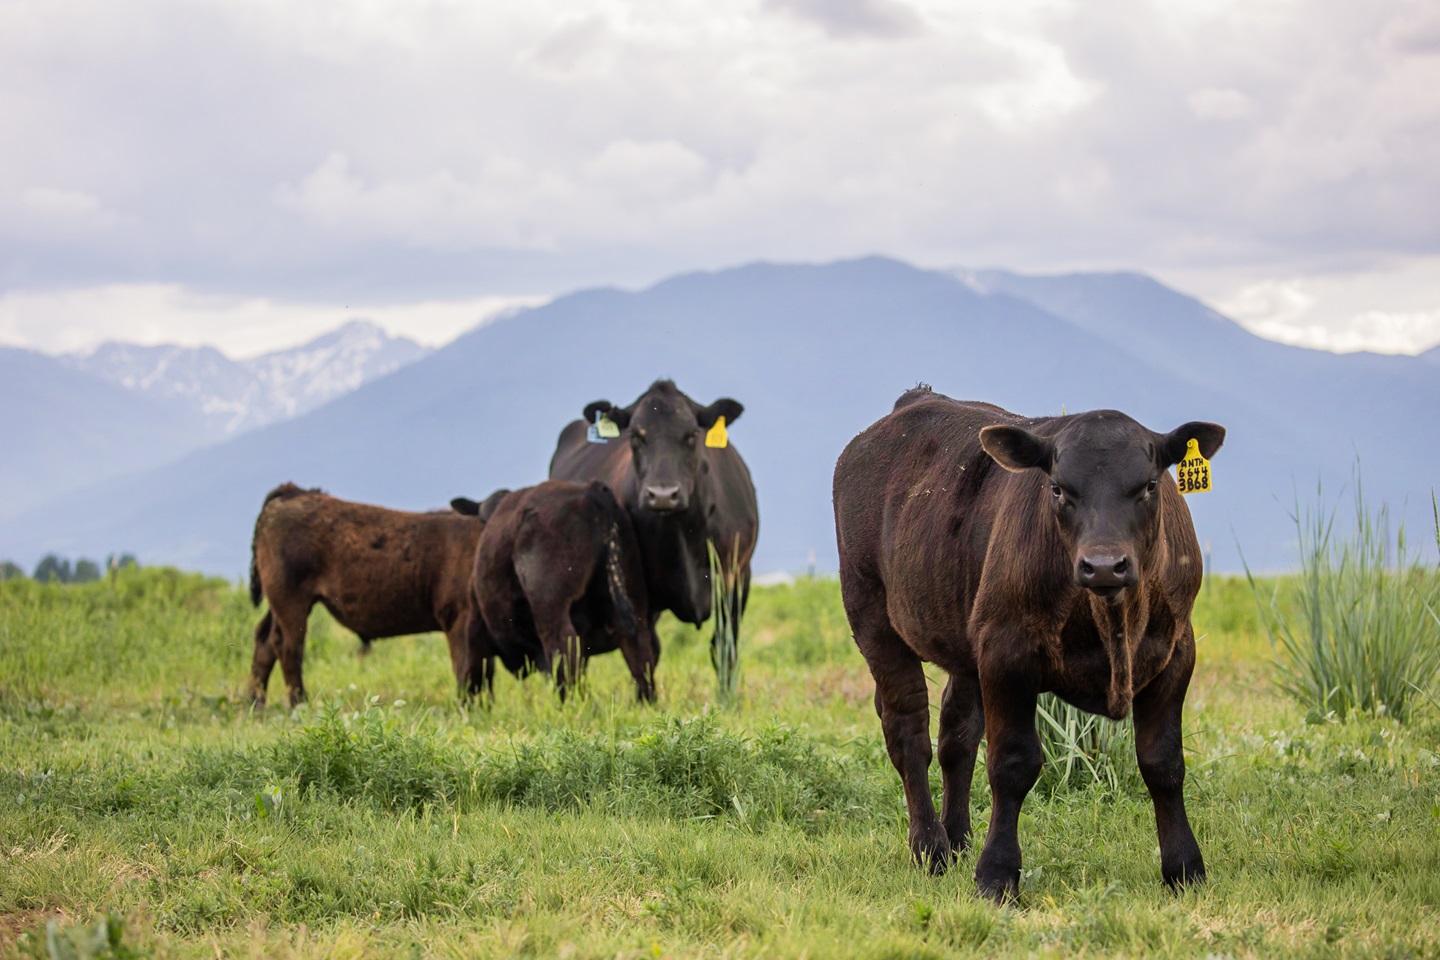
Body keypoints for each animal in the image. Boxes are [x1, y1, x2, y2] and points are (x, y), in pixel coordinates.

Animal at [250, 483, 492, 711]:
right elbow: (467, 670)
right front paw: (468, 709)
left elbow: (485, 670)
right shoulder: (459, 620)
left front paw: (486, 708)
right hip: (291, 602)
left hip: (283, 605)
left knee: (265, 640)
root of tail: (294, 492)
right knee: (288, 648)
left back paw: (255, 704)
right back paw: (298, 705)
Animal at [835, 385, 1226, 903]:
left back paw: (958, 839)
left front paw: (1184, 868)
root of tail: (913, 402)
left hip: (964, 632)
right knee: (908, 729)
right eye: (1058, 489)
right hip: (870, 610)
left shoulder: (1177, 653)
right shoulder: (1006, 653)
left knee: (957, 733)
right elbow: (1013, 763)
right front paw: (997, 875)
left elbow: (1163, 762)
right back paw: (930, 847)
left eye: (1148, 486)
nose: (1104, 565)